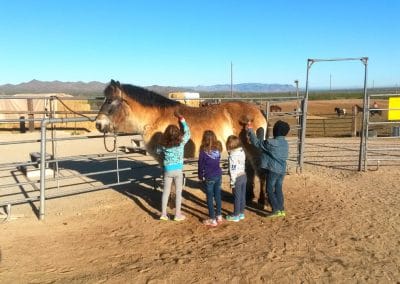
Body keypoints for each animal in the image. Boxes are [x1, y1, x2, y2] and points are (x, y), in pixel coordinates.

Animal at [94, 80, 268, 206]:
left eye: (110, 101)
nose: (98, 124)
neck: (157, 118)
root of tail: (258, 109)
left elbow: (169, 178)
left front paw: (170, 203)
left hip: (253, 148)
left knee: (260, 172)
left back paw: (262, 201)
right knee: (250, 171)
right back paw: (249, 197)